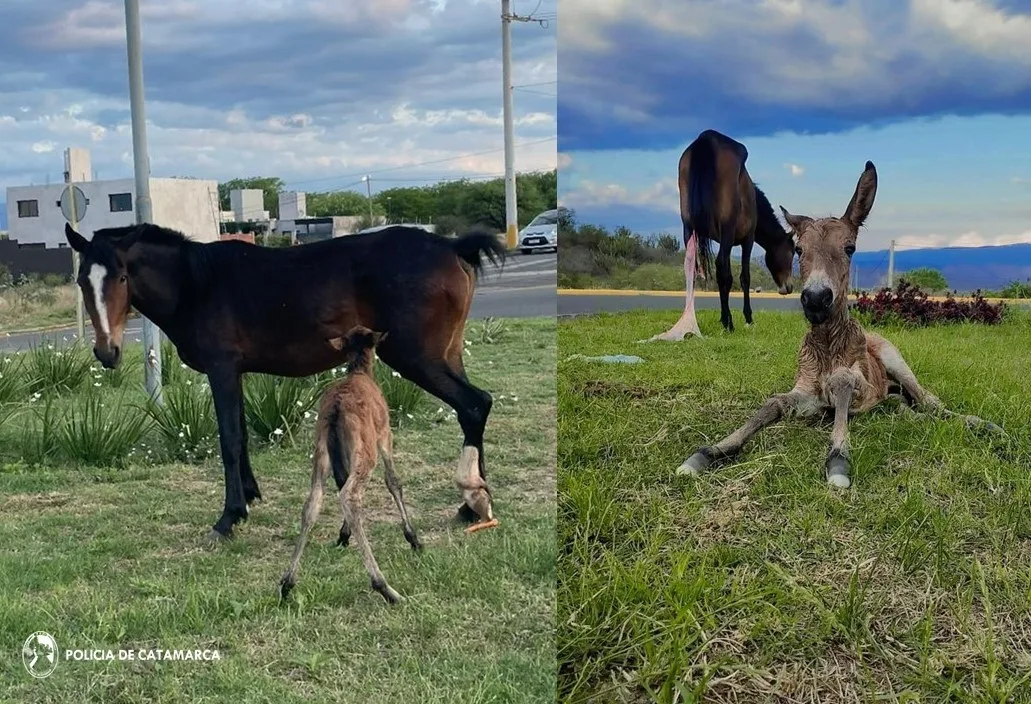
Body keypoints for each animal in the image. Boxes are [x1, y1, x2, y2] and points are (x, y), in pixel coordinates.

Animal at [62, 222, 505, 544]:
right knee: (473, 409)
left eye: (121, 277)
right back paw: (473, 504)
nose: (107, 352)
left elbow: (229, 440)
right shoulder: (235, 374)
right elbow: (240, 436)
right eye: (83, 281)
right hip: (447, 357)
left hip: (417, 359)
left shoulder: (222, 370)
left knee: (473, 404)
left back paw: (471, 498)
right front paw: (249, 497)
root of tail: (452, 246)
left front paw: (229, 517)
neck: (197, 284)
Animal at [643, 131, 795, 344]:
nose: (789, 287)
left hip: (688, 227)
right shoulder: (746, 240)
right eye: (792, 252)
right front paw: (747, 318)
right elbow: (743, 277)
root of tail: (705, 141)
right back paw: (727, 322)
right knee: (723, 269)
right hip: (727, 230)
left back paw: (688, 323)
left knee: (691, 267)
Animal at [672, 161, 1002, 486]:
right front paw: (709, 452)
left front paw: (838, 461)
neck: (828, 348)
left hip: (895, 359)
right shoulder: (806, 392)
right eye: (799, 250)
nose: (816, 299)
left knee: (929, 400)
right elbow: (772, 403)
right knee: (903, 406)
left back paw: (983, 425)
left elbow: (843, 383)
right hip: (891, 395)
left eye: (849, 248)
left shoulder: (862, 387)